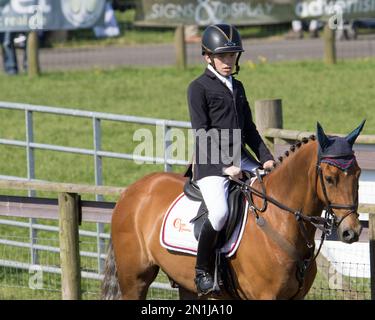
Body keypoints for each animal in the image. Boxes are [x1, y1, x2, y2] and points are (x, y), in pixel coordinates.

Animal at [101, 122, 366, 300]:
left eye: (358, 174)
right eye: (330, 179)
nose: (351, 232)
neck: (279, 220)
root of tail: (132, 190)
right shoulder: (264, 297)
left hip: (185, 284)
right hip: (135, 279)